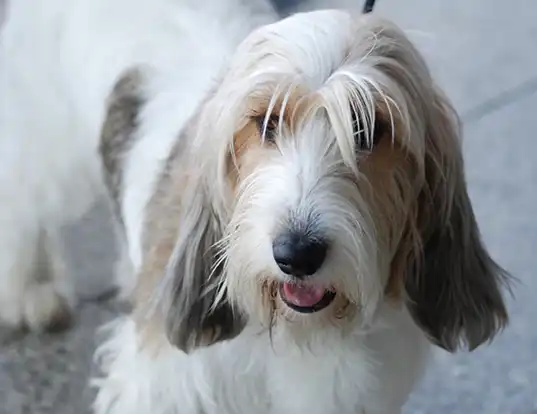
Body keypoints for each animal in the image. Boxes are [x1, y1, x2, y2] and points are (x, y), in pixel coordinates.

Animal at [0, 0, 510, 414]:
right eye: (265, 122)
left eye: (368, 128)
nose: (297, 254)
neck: (292, 331)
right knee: (23, 203)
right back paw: (32, 291)